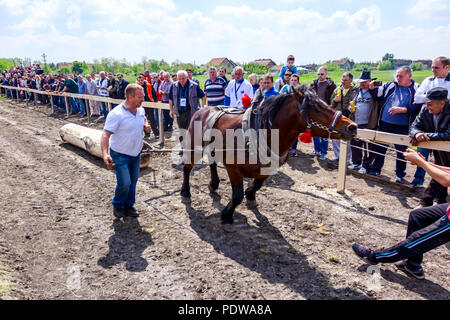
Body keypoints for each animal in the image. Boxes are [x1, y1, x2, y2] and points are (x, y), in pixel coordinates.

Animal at [179, 85, 358, 225]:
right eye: (317, 107)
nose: (352, 127)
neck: (263, 131)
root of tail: (202, 109)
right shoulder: (233, 168)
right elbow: (237, 195)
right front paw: (227, 214)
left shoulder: (267, 168)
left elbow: (257, 185)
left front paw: (250, 195)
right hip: (194, 147)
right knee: (187, 168)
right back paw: (186, 192)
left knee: (212, 162)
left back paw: (213, 184)